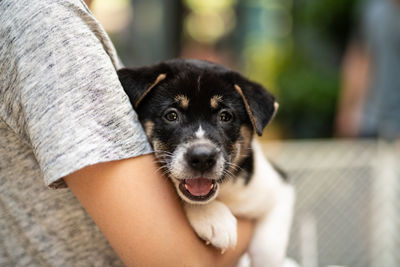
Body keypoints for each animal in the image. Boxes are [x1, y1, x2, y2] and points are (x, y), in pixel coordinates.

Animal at [117, 59, 296, 267]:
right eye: (171, 115)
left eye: (225, 116)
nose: (202, 158)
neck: (224, 193)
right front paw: (215, 218)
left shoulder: (278, 187)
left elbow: (268, 249)